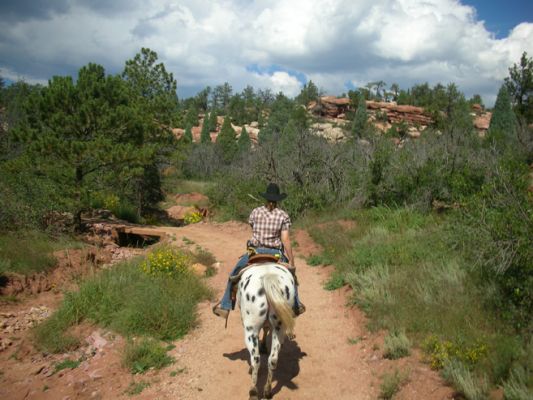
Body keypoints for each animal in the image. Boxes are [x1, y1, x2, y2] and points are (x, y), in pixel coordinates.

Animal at [236, 262, 296, 400]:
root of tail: (268, 277)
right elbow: (266, 328)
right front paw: (263, 346)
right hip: (279, 328)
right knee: (273, 359)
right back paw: (267, 391)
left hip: (250, 330)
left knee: (256, 358)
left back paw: (253, 392)